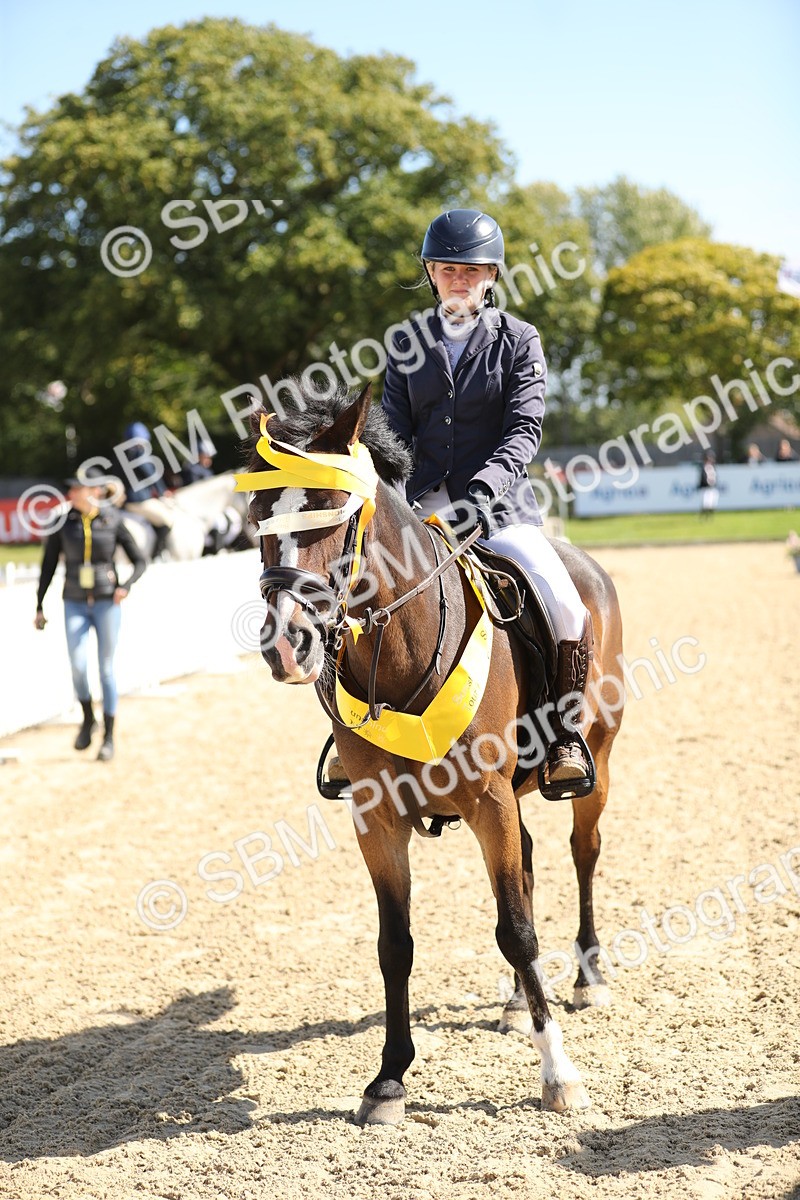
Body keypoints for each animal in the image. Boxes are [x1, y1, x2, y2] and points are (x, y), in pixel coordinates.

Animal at [241, 382, 624, 1125]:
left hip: (595, 757)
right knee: (528, 866)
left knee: (582, 853)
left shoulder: (488, 800)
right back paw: (517, 1002)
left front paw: (559, 1074)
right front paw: (388, 1079)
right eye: (256, 517)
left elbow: (517, 930)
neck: (402, 650)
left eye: (333, 512)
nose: (287, 647)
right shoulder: (378, 819)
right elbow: (396, 944)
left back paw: (588, 977)